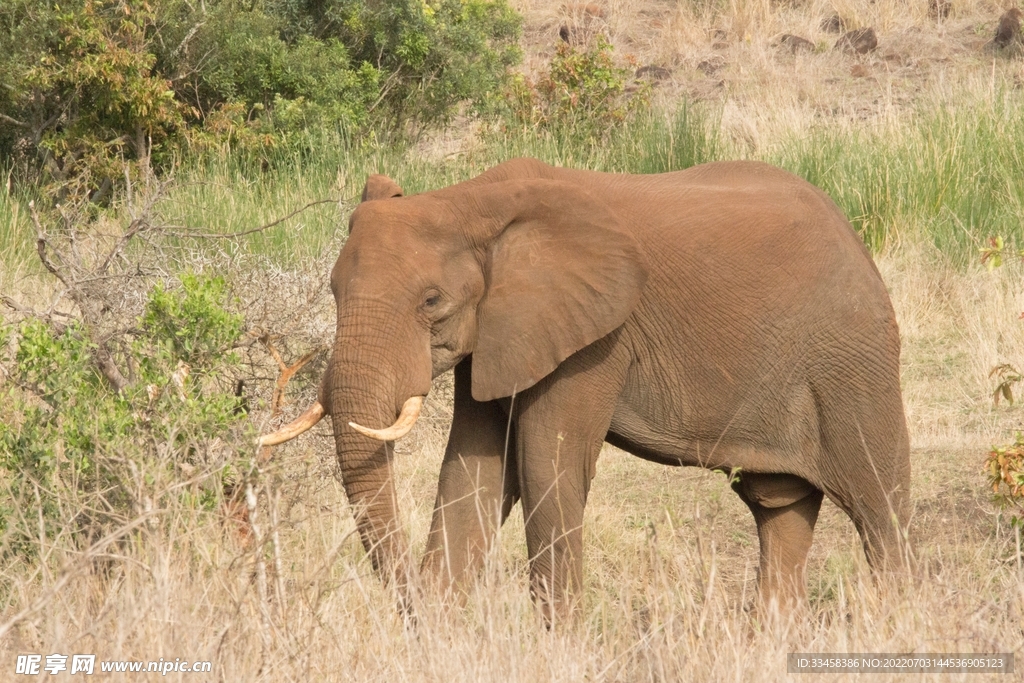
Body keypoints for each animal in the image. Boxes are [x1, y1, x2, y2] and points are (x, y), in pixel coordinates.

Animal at [262, 158, 913, 618]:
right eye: (333, 291)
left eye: (431, 302)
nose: (413, 605)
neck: (471, 200)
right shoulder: (504, 331)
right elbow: (473, 469)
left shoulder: (595, 340)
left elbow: (547, 466)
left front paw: (557, 642)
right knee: (780, 509)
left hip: (853, 363)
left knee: (880, 507)